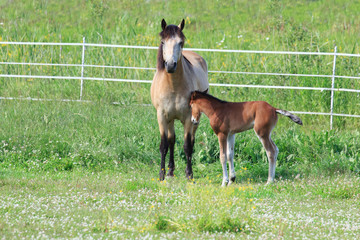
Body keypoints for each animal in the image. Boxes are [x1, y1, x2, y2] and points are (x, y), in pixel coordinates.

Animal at [151, 19, 208, 180]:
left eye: (180, 42)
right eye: (163, 42)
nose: (170, 65)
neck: (173, 86)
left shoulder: (189, 117)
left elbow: (187, 146)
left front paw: (189, 174)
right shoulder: (162, 117)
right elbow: (164, 145)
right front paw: (162, 174)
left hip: (195, 119)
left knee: (192, 140)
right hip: (170, 120)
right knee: (171, 140)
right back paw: (171, 171)